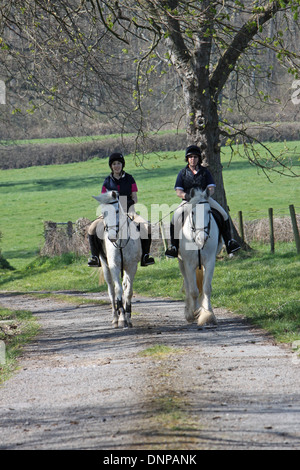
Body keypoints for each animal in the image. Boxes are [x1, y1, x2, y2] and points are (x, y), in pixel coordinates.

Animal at [92, 191, 142, 326]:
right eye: (103, 213)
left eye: (116, 211)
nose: (112, 237)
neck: (121, 242)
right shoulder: (114, 266)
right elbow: (118, 290)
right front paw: (122, 318)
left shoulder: (131, 267)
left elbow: (128, 291)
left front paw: (128, 317)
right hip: (105, 267)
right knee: (111, 290)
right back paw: (115, 317)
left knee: (124, 286)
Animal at [178, 187, 223, 326]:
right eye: (192, 212)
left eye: (209, 211)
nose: (202, 238)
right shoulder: (189, 264)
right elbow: (193, 290)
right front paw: (194, 313)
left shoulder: (209, 262)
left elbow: (206, 288)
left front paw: (208, 315)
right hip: (182, 264)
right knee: (188, 285)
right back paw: (189, 313)